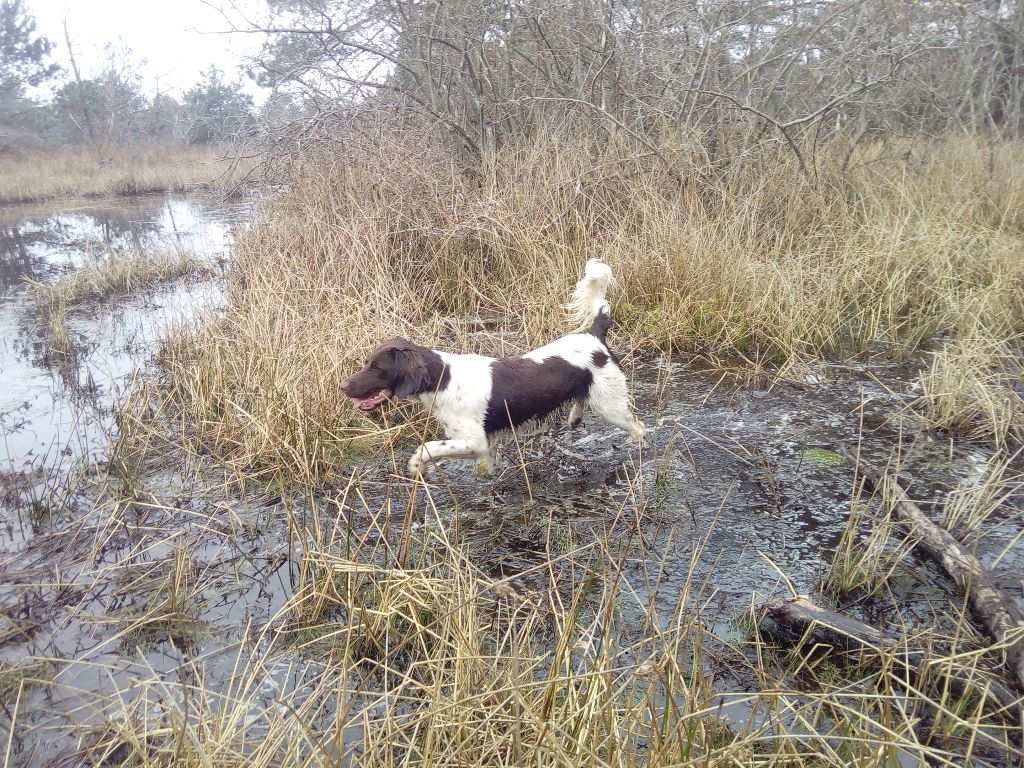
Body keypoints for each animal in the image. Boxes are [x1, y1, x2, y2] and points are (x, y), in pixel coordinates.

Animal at [344, 262, 647, 479]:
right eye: (367, 362)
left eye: (377, 367)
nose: (343, 386)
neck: (443, 378)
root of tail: (595, 337)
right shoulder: (484, 447)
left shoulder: (475, 441)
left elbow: (426, 448)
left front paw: (416, 466)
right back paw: (574, 416)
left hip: (612, 406)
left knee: (638, 428)